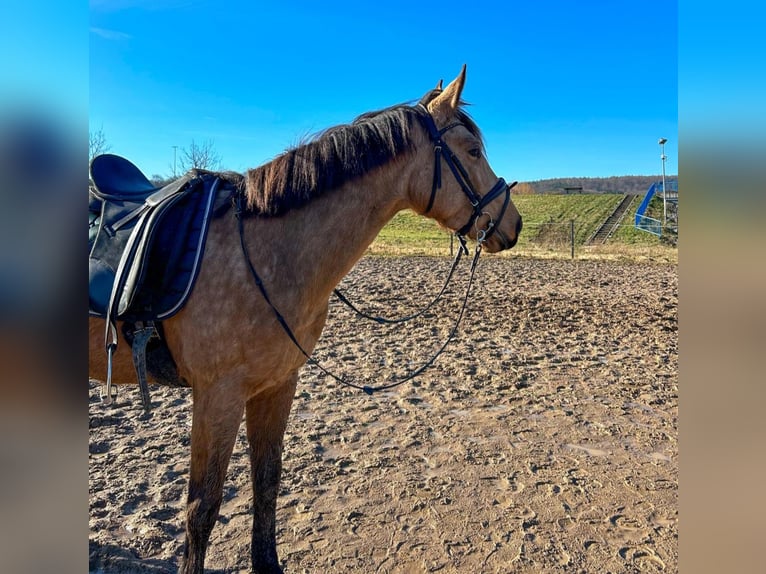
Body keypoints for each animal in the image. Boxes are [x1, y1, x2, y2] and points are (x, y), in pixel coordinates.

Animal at [88, 65, 520, 572]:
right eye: (472, 151)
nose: (513, 224)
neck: (262, 251)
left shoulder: (277, 384)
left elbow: (267, 482)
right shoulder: (217, 397)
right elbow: (202, 508)